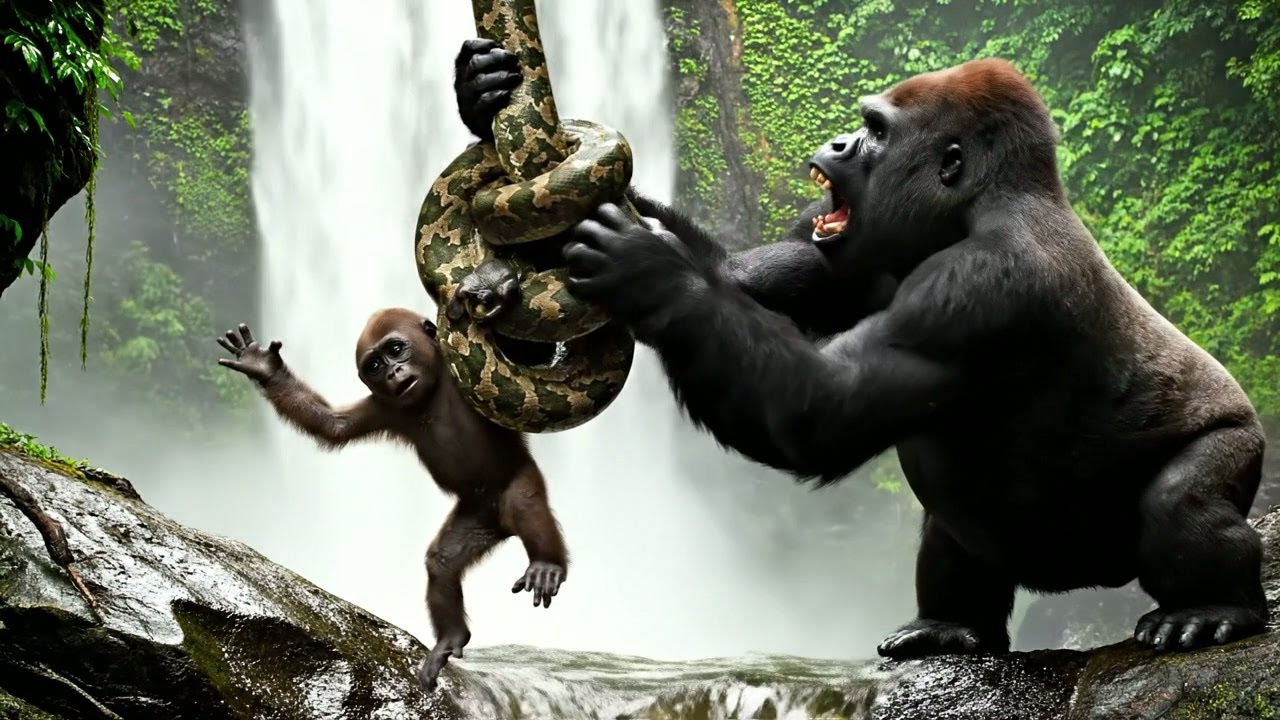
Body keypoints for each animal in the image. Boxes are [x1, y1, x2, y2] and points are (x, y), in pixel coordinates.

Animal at [216, 310, 568, 691]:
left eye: (396, 349)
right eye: (374, 365)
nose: (393, 372)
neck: (432, 393)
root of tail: (501, 524)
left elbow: (525, 360)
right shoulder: (386, 407)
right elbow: (334, 425)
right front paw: (264, 368)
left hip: (514, 484)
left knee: (525, 504)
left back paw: (547, 564)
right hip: (477, 515)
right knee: (442, 562)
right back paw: (451, 638)